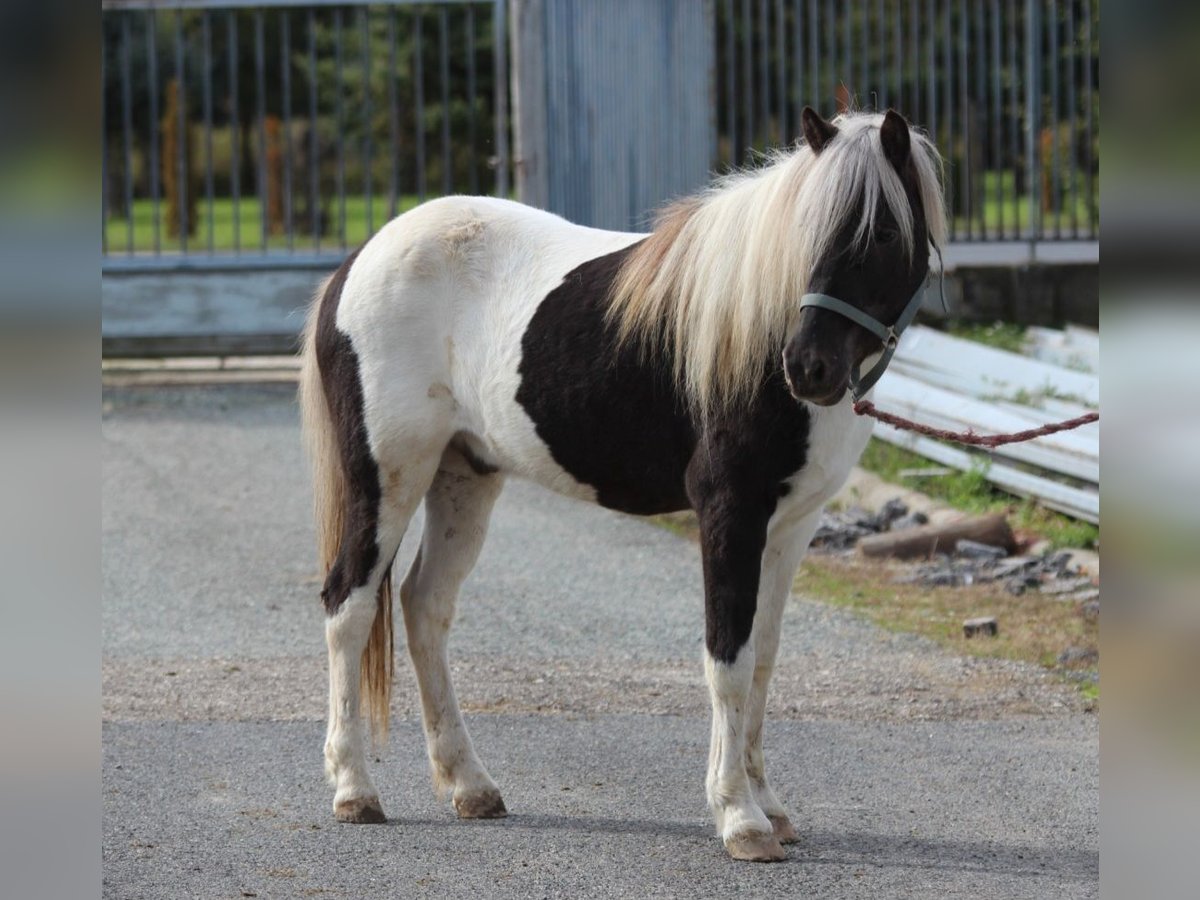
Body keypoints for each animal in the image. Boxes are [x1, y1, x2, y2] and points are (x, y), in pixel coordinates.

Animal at [297, 109, 945, 864]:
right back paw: (354, 789)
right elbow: (728, 658)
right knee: (349, 605)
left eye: (883, 234)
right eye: (807, 233)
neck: (752, 333)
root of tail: (357, 263)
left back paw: (470, 785)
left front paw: (771, 807)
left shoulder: (791, 528)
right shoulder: (730, 513)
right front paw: (740, 818)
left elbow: (762, 662)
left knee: (424, 604)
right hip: (388, 478)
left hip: (465, 476)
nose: (808, 368)